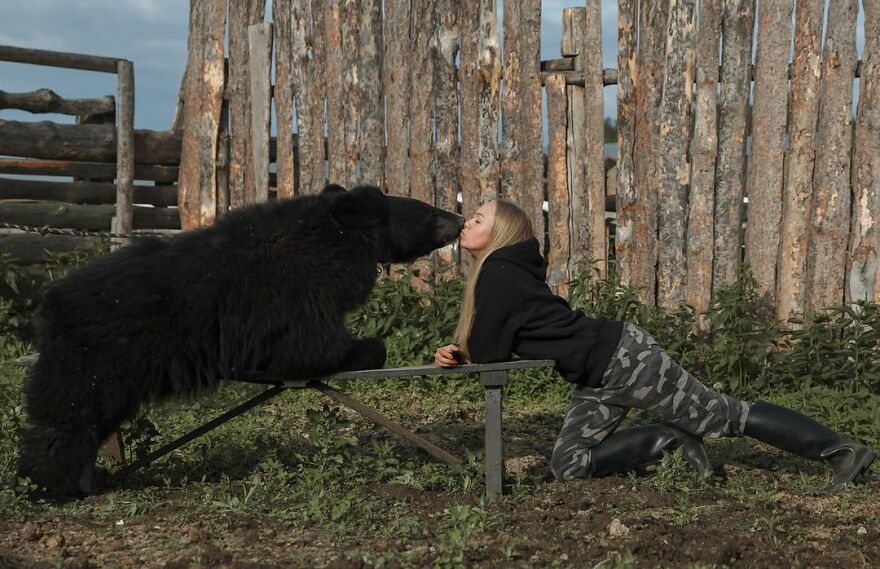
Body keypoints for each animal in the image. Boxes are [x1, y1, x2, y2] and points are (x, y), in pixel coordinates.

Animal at [17, 184, 463, 497]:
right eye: (429, 212)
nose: (460, 217)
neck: (335, 236)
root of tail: (48, 309)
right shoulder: (288, 291)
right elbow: (310, 346)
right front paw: (368, 348)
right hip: (95, 361)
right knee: (64, 421)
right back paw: (53, 484)